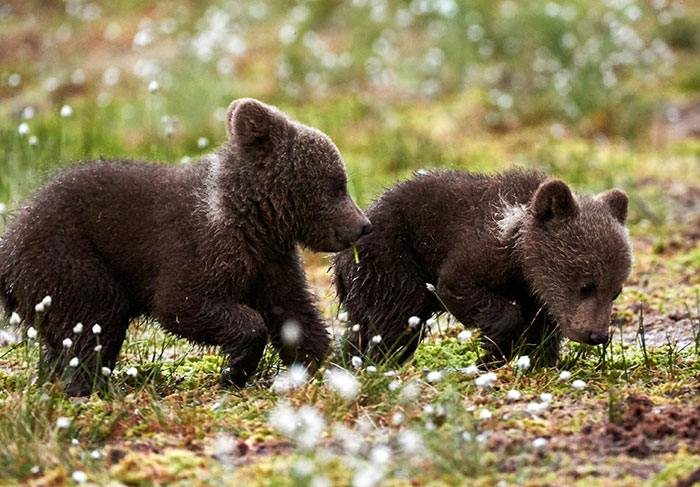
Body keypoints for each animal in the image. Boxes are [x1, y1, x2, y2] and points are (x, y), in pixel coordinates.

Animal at [0, 98, 372, 396]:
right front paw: (234, 370)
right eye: (338, 185)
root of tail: (11, 240)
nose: (364, 225)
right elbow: (182, 304)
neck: (252, 220)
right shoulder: (199, 248)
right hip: (68, 257)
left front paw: (330, 365)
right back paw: (89, 388)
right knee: (93, 320)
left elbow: (294, 312)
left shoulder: (270, 260)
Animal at [333, 169, 632, 366]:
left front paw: (537, 359)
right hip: (389, 262)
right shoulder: (476, 253)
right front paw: (493, 353)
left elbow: (543, 325)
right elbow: (459, 287)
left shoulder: (536, 292)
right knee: (397, 316)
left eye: (616, 291)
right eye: (586, 285)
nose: (597, 335)